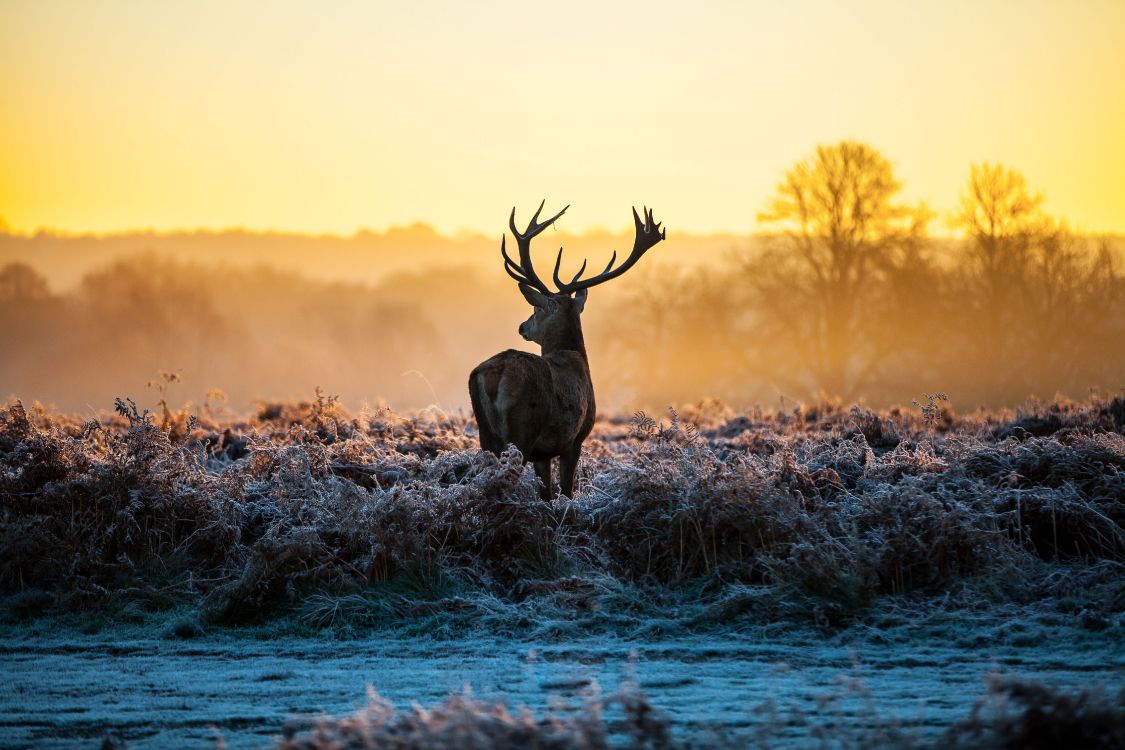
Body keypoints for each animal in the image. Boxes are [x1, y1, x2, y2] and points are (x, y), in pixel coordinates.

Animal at [468, 202, 661, 501]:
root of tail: (493, 373)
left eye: (535, 309)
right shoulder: (574, 438)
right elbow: (566, 490)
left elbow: (546, 492)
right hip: (522, 430)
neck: (574, 355)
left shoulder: (544, 452)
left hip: (486, 435)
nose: (522, 326)